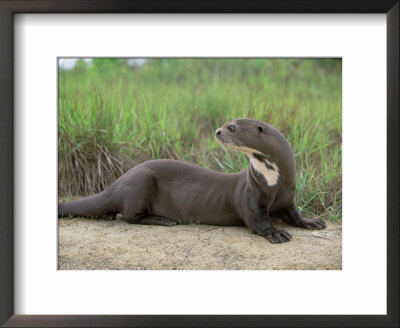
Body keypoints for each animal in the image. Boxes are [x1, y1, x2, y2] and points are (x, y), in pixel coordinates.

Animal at [60, 119, 328, 242]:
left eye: (231, 126)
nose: (218, 131)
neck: (274, 182)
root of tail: (116, 182)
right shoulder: (252, 198)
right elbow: (257, 221)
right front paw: (276, 233)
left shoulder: (287, 197)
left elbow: (295, 214)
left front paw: (312, 222)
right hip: (141, 180)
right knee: (129, 216)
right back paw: (163, 220)